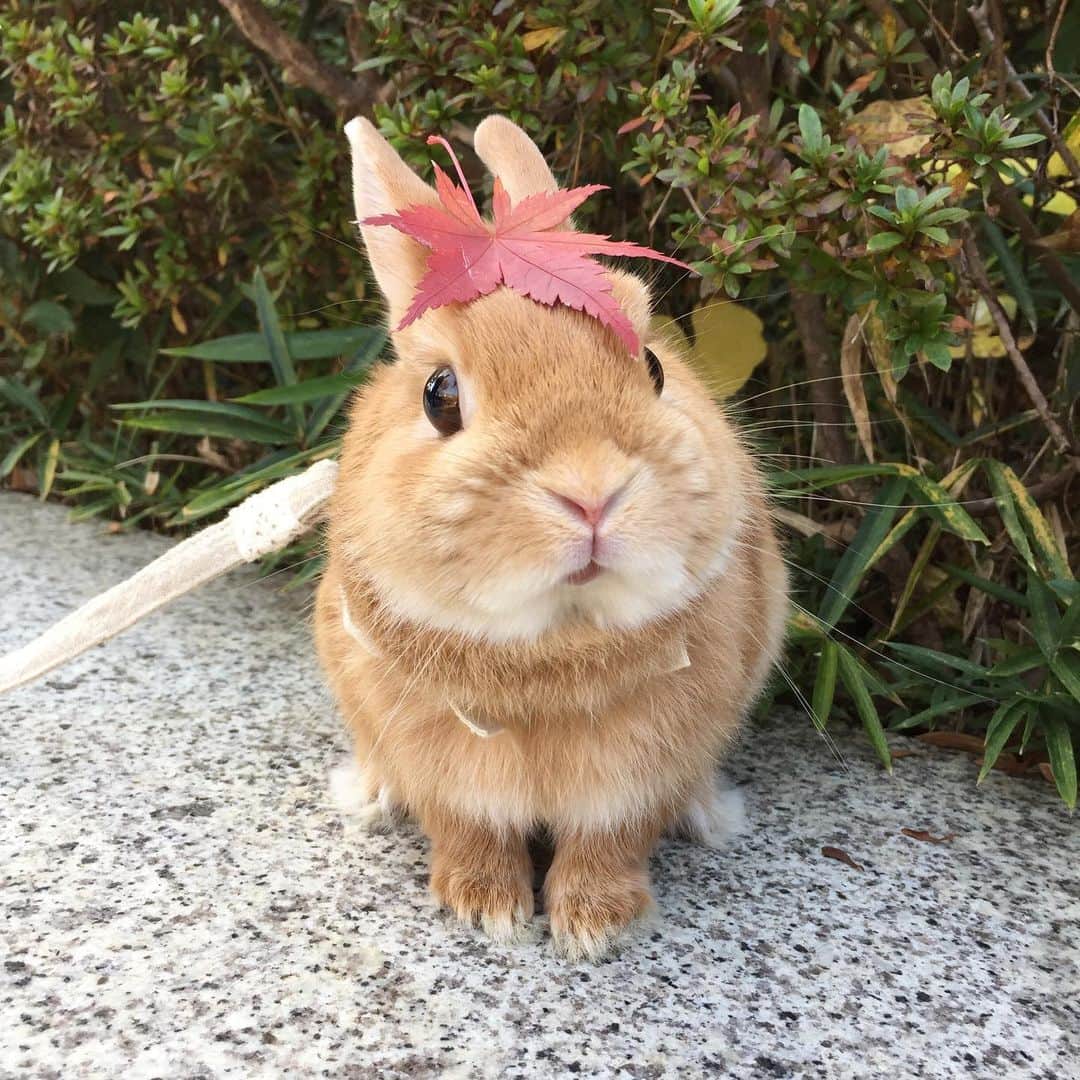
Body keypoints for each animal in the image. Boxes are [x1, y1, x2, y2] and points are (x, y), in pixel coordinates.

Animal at [314, 114, 788, 960]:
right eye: (439, 394)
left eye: (654, 367)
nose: (593, 492)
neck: (552, 653)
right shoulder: (446, 779)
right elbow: (467, 832)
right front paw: (485, 909)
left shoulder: (636, 784)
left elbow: (612, 842)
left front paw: (597, 926)